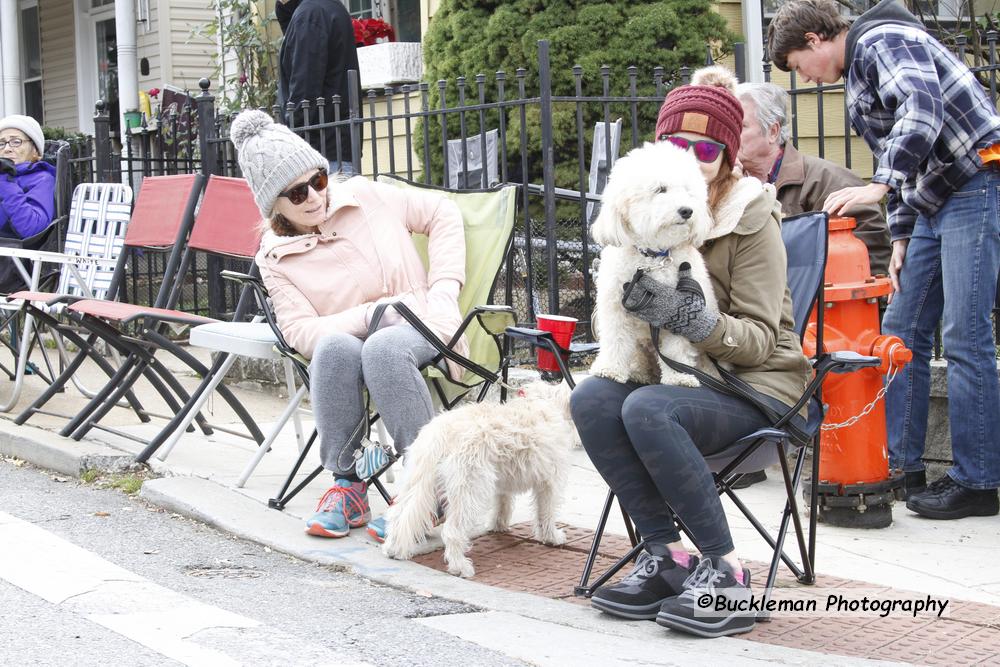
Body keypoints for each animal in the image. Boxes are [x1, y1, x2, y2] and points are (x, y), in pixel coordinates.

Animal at [382, 380, 580, 580]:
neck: (548, 401)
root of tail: (442, 434)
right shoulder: (550, 483)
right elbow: (546, 513)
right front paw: (552, 537)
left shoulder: (503, 483)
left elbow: (503, 504)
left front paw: (498, 525)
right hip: (469, 490)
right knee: (452, 531)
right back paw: (460, 567)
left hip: (418, 481)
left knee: (400, 515)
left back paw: (394, 549)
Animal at [584, 144, 720, 388]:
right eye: (660, 189)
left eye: (688, 191)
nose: (687, 210)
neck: (654, 258)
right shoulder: (614, 306)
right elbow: (616, 339)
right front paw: (610, 369)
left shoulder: (677, 313)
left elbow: (676, 349)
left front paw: (678, 377)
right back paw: (639, 373)